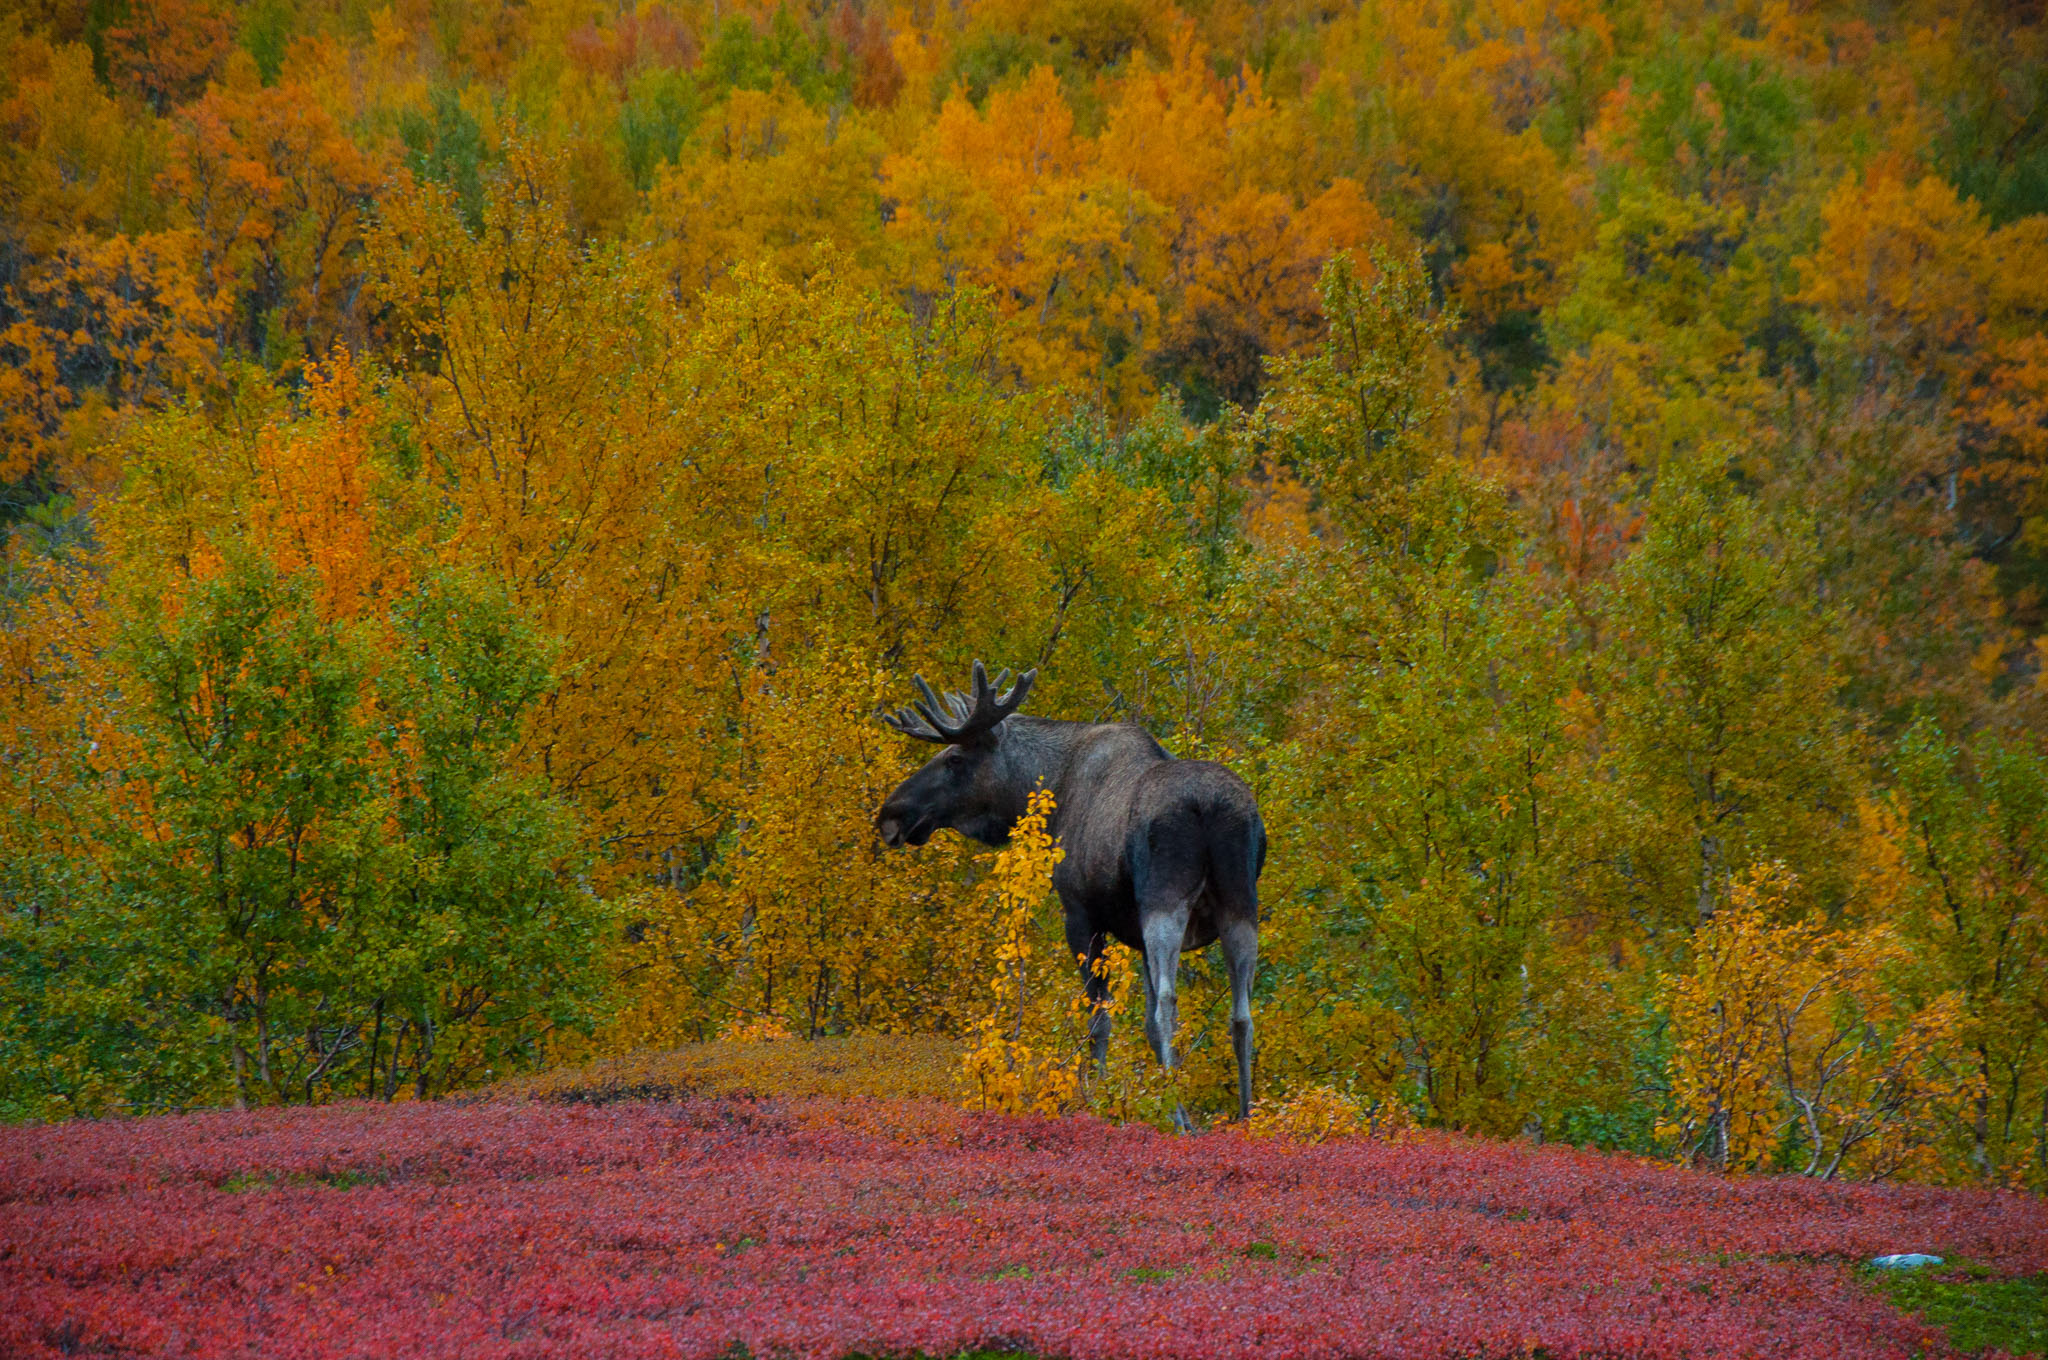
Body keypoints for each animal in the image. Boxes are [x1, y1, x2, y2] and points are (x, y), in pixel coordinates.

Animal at [868, 659, 1261, 1114]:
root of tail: (1207, 807)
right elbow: (1142, 1024)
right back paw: (1244, 1116)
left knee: (1169, 1004)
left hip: (1164, 900)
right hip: (1240, 904)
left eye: (953, 758)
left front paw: (1097, 1096)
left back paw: (1178, 1113)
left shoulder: (1080, 914)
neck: (1050, 787)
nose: (891, 814)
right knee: (1241, 1014)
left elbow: (1100, 1019)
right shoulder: (1134, 934)